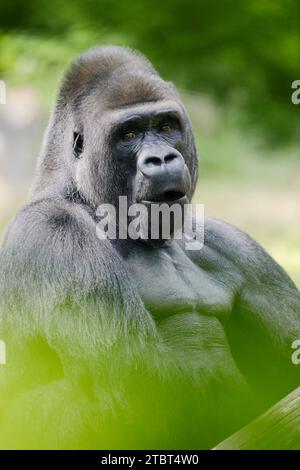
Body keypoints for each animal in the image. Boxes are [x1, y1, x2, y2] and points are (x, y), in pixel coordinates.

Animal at [0, 46, 300, 450]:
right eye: (129, 133)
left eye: (166, 126)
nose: (161, 158)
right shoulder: (53, 233)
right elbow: (140, 389)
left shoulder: (237, 246)